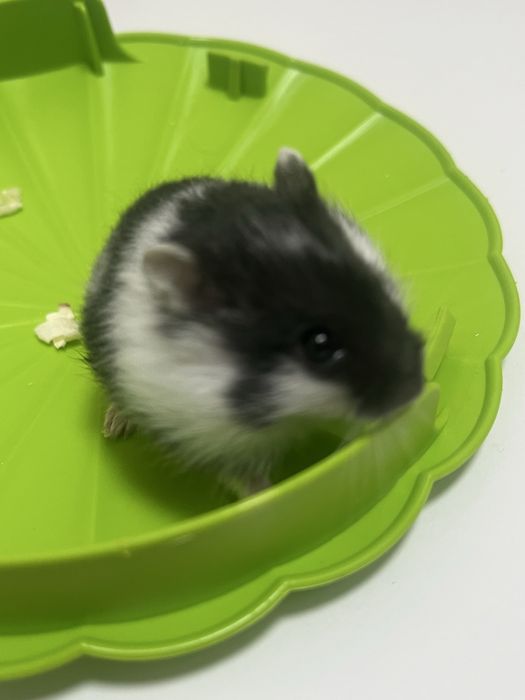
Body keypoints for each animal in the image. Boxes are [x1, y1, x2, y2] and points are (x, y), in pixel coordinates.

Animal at [82, 148, 423, 494]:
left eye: (377, 285)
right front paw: (268, 494)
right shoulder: (215, 442)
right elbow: (245, 480)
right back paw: (115, 425)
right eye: (319, 344)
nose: (416, 391)